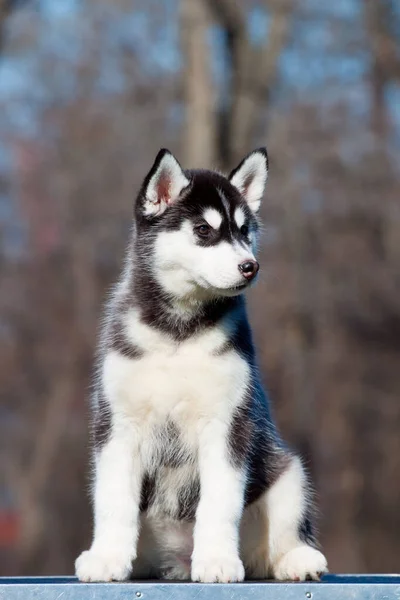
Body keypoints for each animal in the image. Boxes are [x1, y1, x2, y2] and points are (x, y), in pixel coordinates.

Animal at [75, 148, 328, 584]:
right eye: (203, 230)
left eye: (244, 231)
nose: (250, 265)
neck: (179, 331)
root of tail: (174, 560)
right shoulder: (118, 424)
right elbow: (113, 500)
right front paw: (107, 557)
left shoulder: (229, 423)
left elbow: (220, 503)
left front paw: (217, 560)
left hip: (288, 473)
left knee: (277, 538)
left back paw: (295, 560)